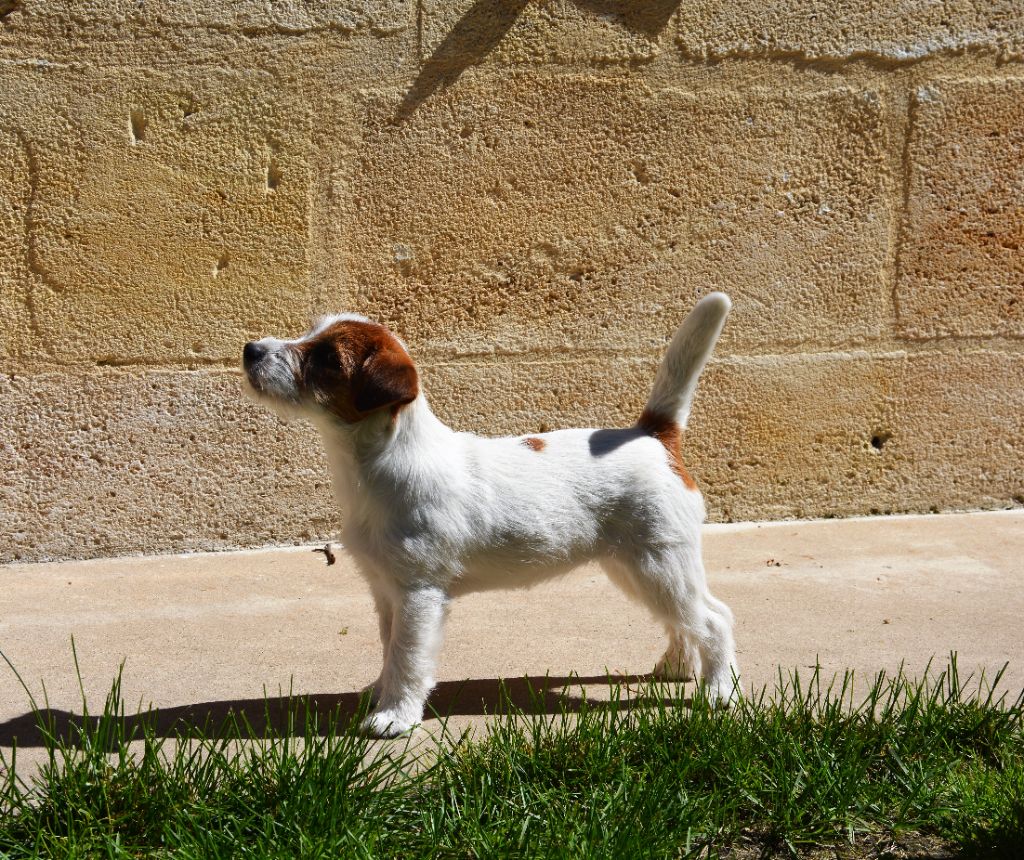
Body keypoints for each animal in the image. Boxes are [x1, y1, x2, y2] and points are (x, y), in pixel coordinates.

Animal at [242, 292, 739, 737]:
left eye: (327, 357)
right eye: (311, 333)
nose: (251, 350)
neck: (380, 462)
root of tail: (654, 436)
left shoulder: (419, 593)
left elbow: (408, 656)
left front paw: (394, 716)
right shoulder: (385, 590)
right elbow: (389, 647)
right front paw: (381, 693)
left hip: (659, 565)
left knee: (714, 619)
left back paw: (719, 693)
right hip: (636, 569)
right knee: (685, 620)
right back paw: (677, 667)